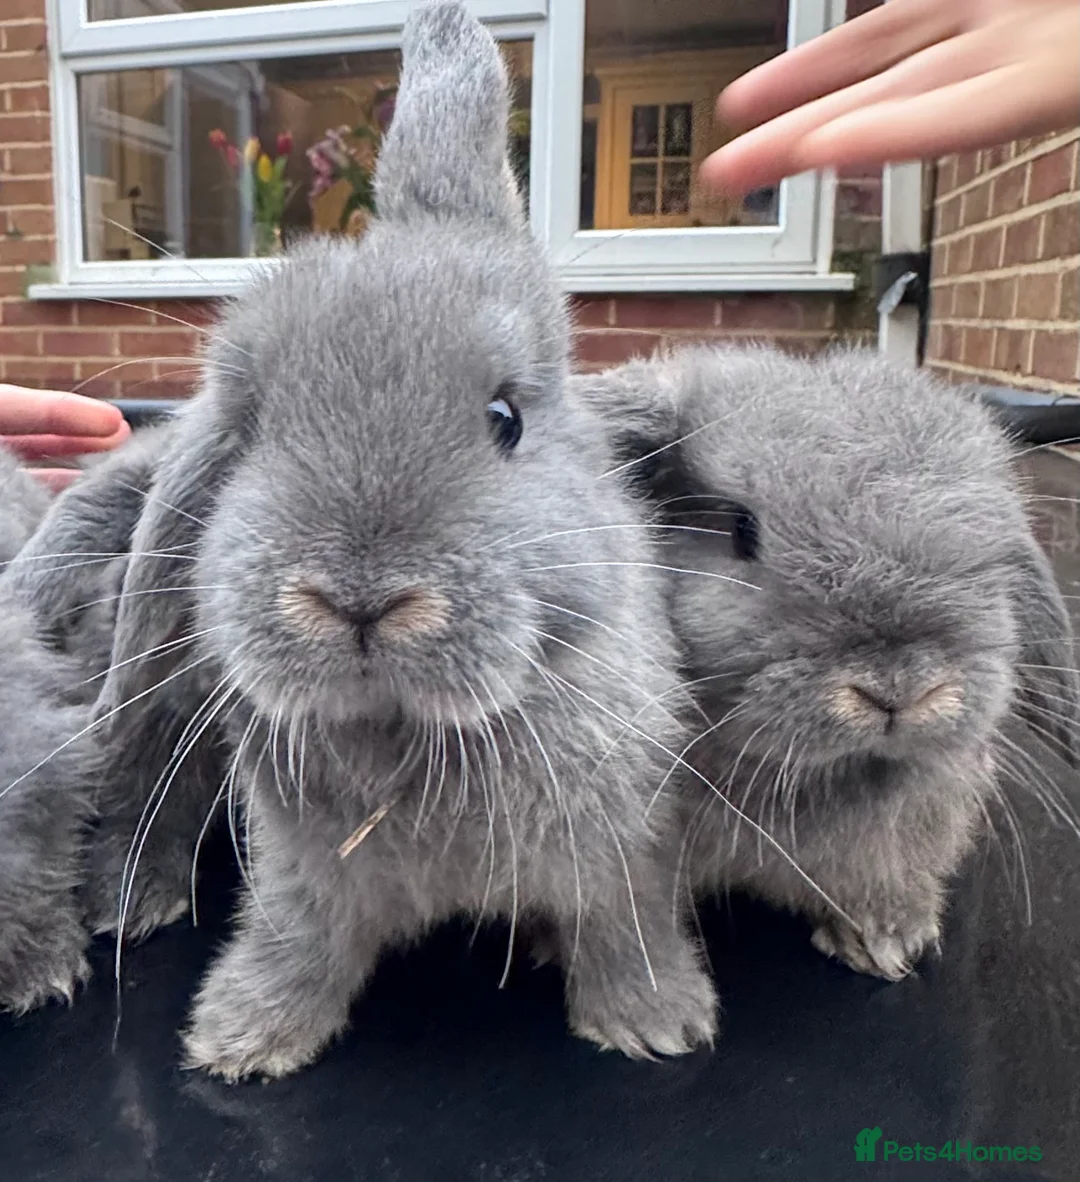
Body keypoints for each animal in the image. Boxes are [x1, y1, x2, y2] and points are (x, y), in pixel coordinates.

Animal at [94, 1, 717, 1081]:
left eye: (506, 418)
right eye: (249, 427)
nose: (359, 600)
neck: (408, 736)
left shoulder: (623, 848)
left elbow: (621, 925)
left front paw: (657, 1025)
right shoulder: (301, 877)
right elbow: (298, 943)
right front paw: (242, 1039)